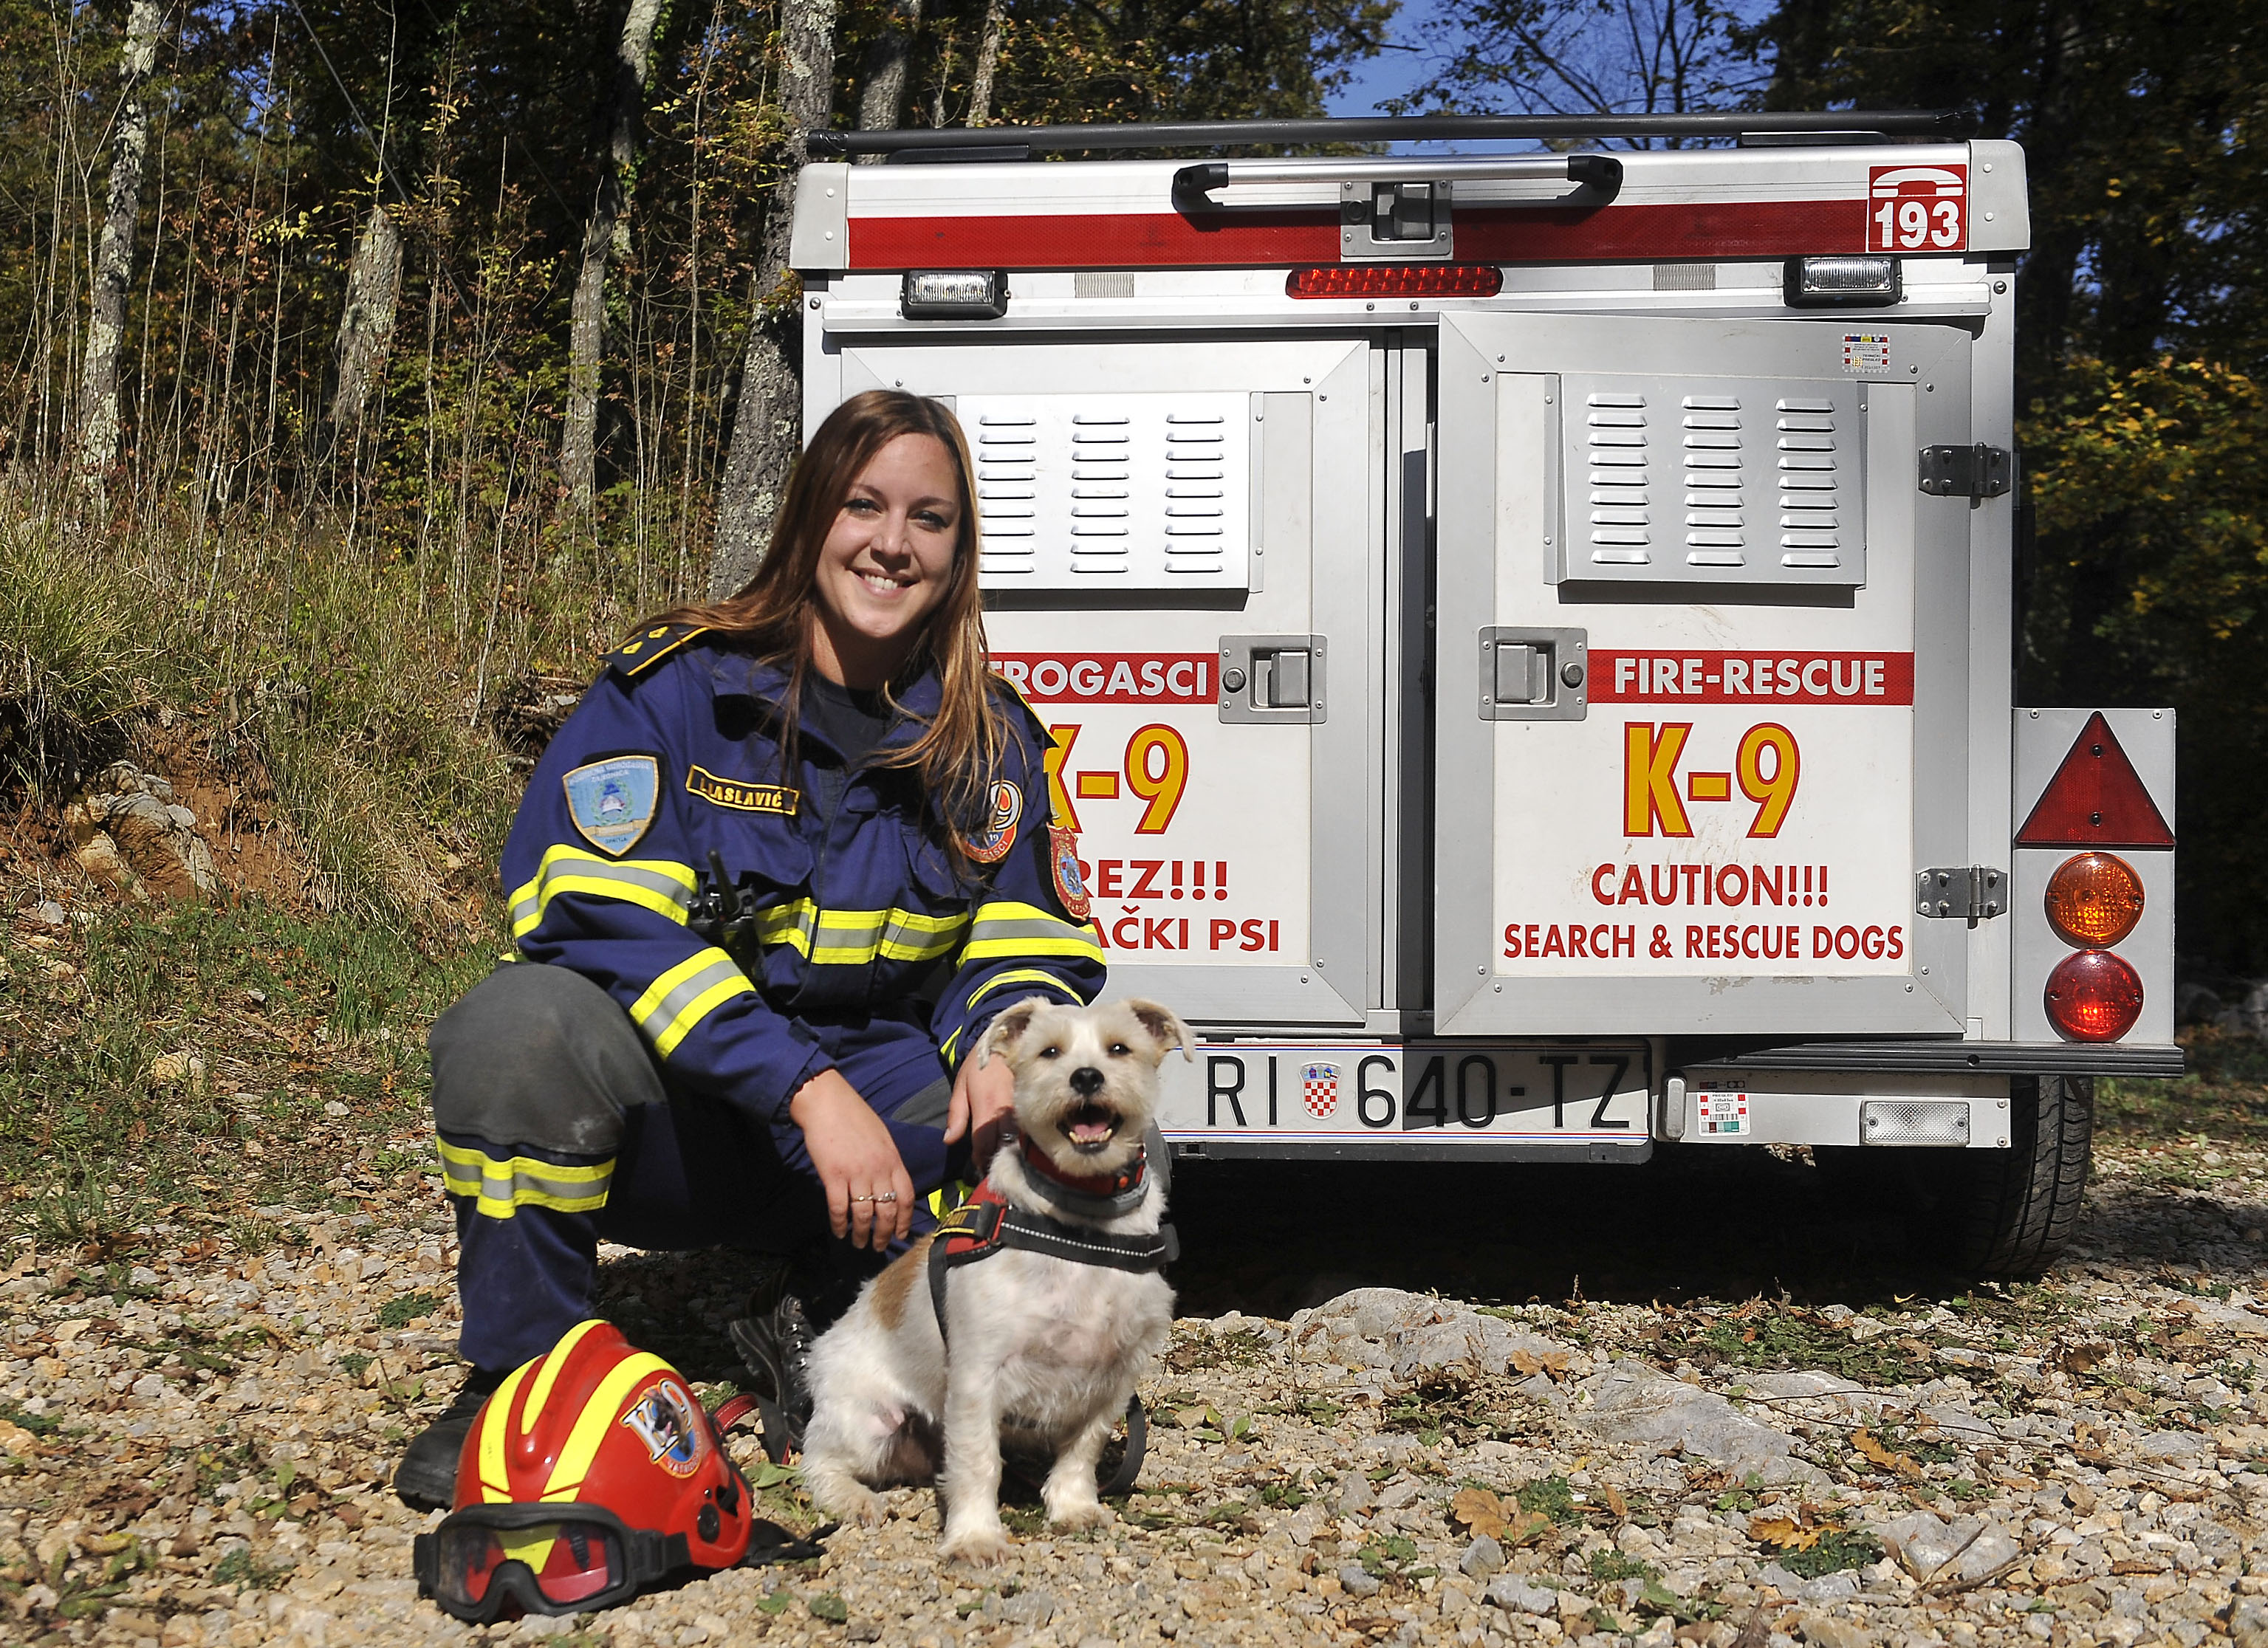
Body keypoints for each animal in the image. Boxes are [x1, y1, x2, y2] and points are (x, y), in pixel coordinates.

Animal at [798, 997, 1188, 1568]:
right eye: (1050, 1052)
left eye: (1119, 1048)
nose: (1086, 1076)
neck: (1080, 1223)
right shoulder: (977, 1375)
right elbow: (978, 1461)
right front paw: (974, 1537)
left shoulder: (1113, 1377)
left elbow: (1082, 1449)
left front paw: (1073, 1507)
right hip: (868, 1422)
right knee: (818, 1461)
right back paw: (853, 1499)